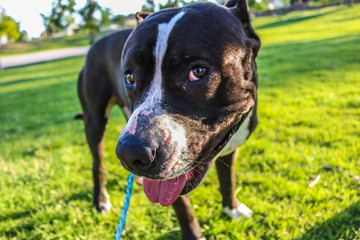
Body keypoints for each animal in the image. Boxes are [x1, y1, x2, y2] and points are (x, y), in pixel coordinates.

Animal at [77, 0, 260, 238]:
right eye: (129, 77)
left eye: (198, 71)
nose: (130, 153)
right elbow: (182, 206)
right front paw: (194, 235)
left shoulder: (229, 146)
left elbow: (227, 179)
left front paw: (233, 209)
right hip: (95, 123)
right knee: (97, 162)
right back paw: (101, 200)